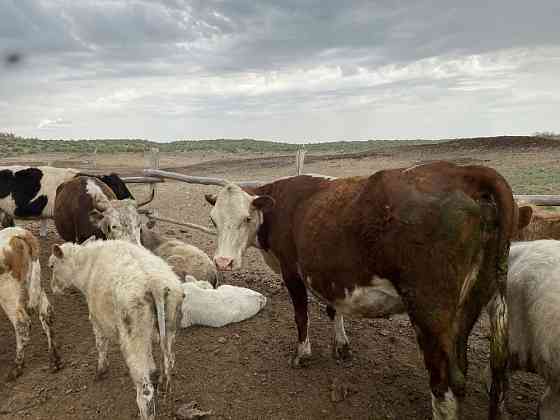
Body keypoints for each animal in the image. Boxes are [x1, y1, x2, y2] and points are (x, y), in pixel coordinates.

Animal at [0, 226, 61, 380]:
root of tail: (18, 233)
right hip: (37, 286)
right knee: (47, 314)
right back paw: (55, 361)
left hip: (8, 295)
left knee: (22, 324)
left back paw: (17, 367)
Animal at [48, 240, 184, 420]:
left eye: (51, 266)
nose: (53, 289)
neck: (86, 265)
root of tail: (154, 283)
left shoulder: (97, 319)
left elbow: (100, 345)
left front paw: (101, 371)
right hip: (167, 326)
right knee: (169, 361)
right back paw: (163, 384)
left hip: (133, 336)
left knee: (145, 390)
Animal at [203, 162, 524, 420]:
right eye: (213, 220)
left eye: (246, 218)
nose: (223, 261)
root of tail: (461, 171)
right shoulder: (330, 275)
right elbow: (333, 309)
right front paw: (341, 347)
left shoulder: (292, 271)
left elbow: (301, 315)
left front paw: (303, 354)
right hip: (474, 303)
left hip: (429, 313)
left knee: (445, 381)